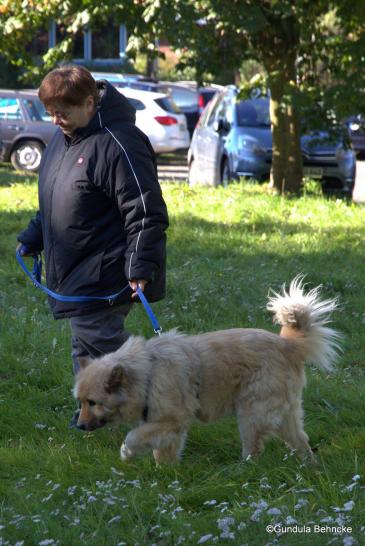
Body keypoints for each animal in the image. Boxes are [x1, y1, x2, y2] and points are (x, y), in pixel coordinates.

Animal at [74, 276, 342, 464]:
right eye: (81, 402)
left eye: (93, 402)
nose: (79, 426)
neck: (148, 371)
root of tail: (287, 345)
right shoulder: (166, 424)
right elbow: (163, 450)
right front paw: (166, 474)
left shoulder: (172, 419)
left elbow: (134, 436)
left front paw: (127, 452)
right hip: (285, 412)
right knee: (301, 441)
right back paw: (309, 466)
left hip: (252, 413)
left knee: (254, 448)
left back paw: (244, 470)